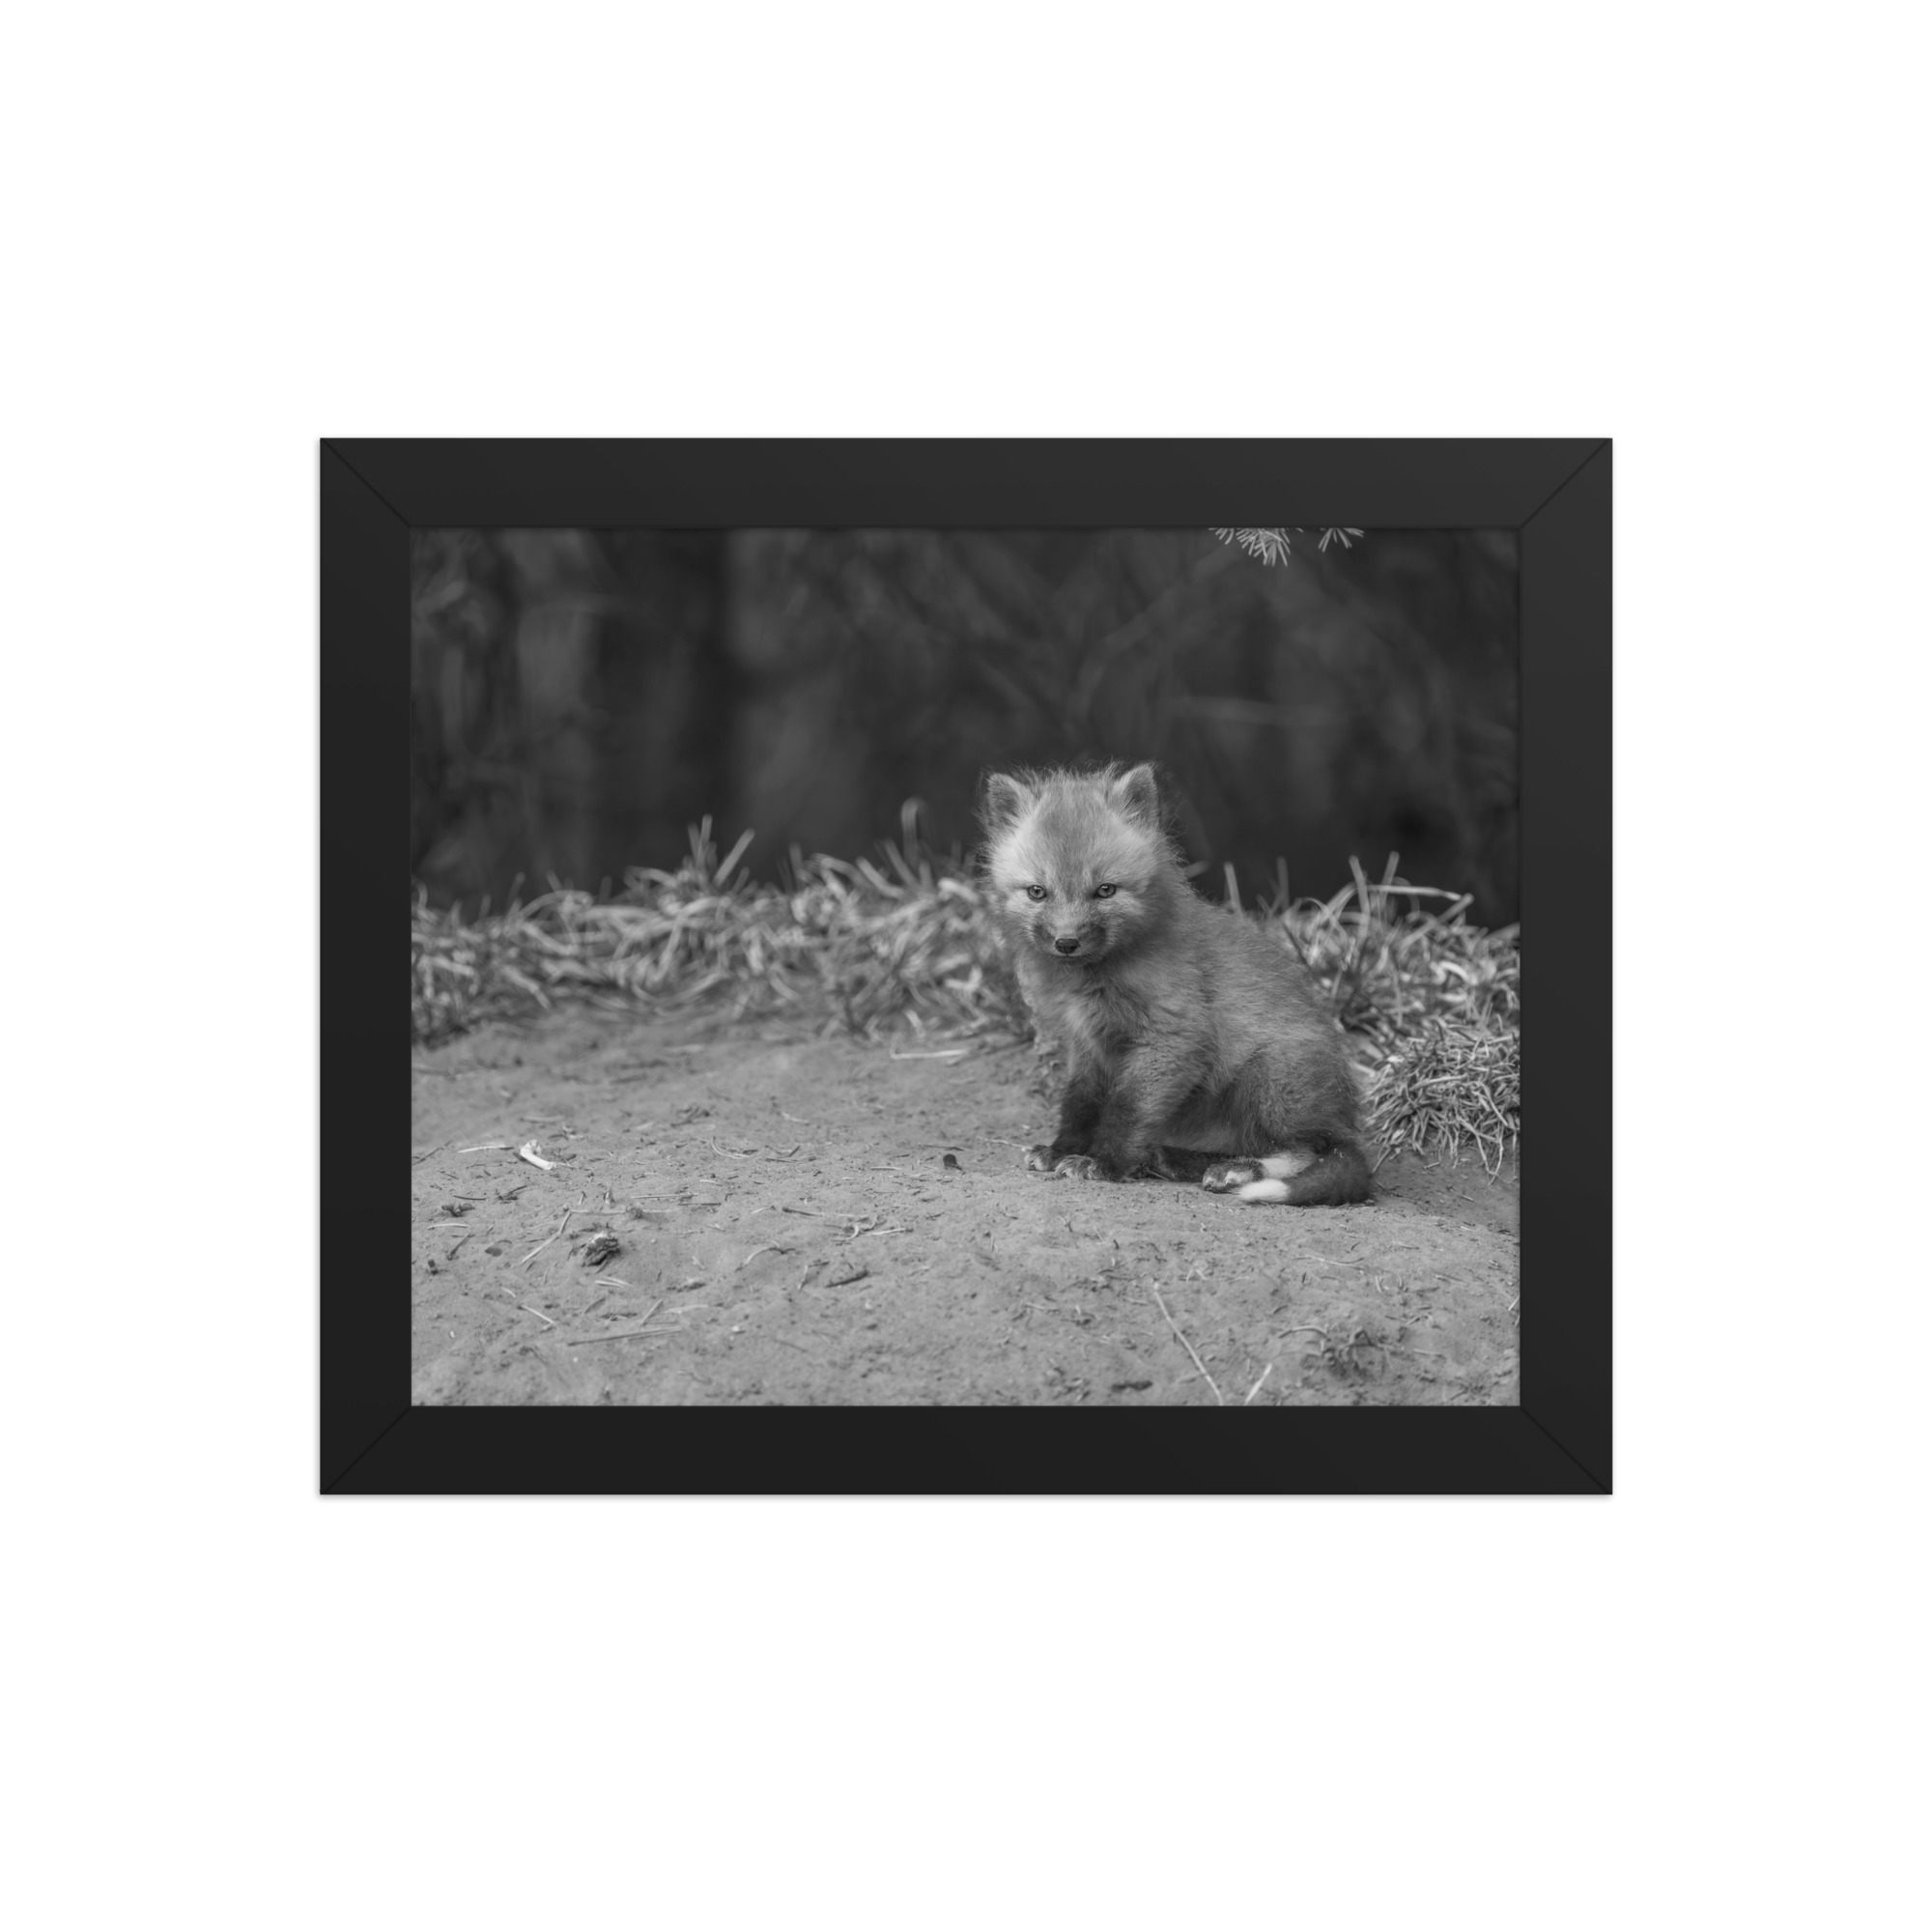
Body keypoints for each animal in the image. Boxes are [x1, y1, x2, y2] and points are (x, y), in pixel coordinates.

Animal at [979, 762, 1373, 1206]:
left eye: (1105, 890)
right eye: (1037, 892)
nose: (1066, 942)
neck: (1093, 981)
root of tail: (1345, 1117)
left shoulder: (1172, 1038)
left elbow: (1127, 1109)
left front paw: (1103, 1163)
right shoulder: (1088, 1045)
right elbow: (1079, 1103)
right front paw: (1063, 1149)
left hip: (1269, 1078)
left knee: (1312, 1150)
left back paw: (1237, 1171)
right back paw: (1174, 1159)